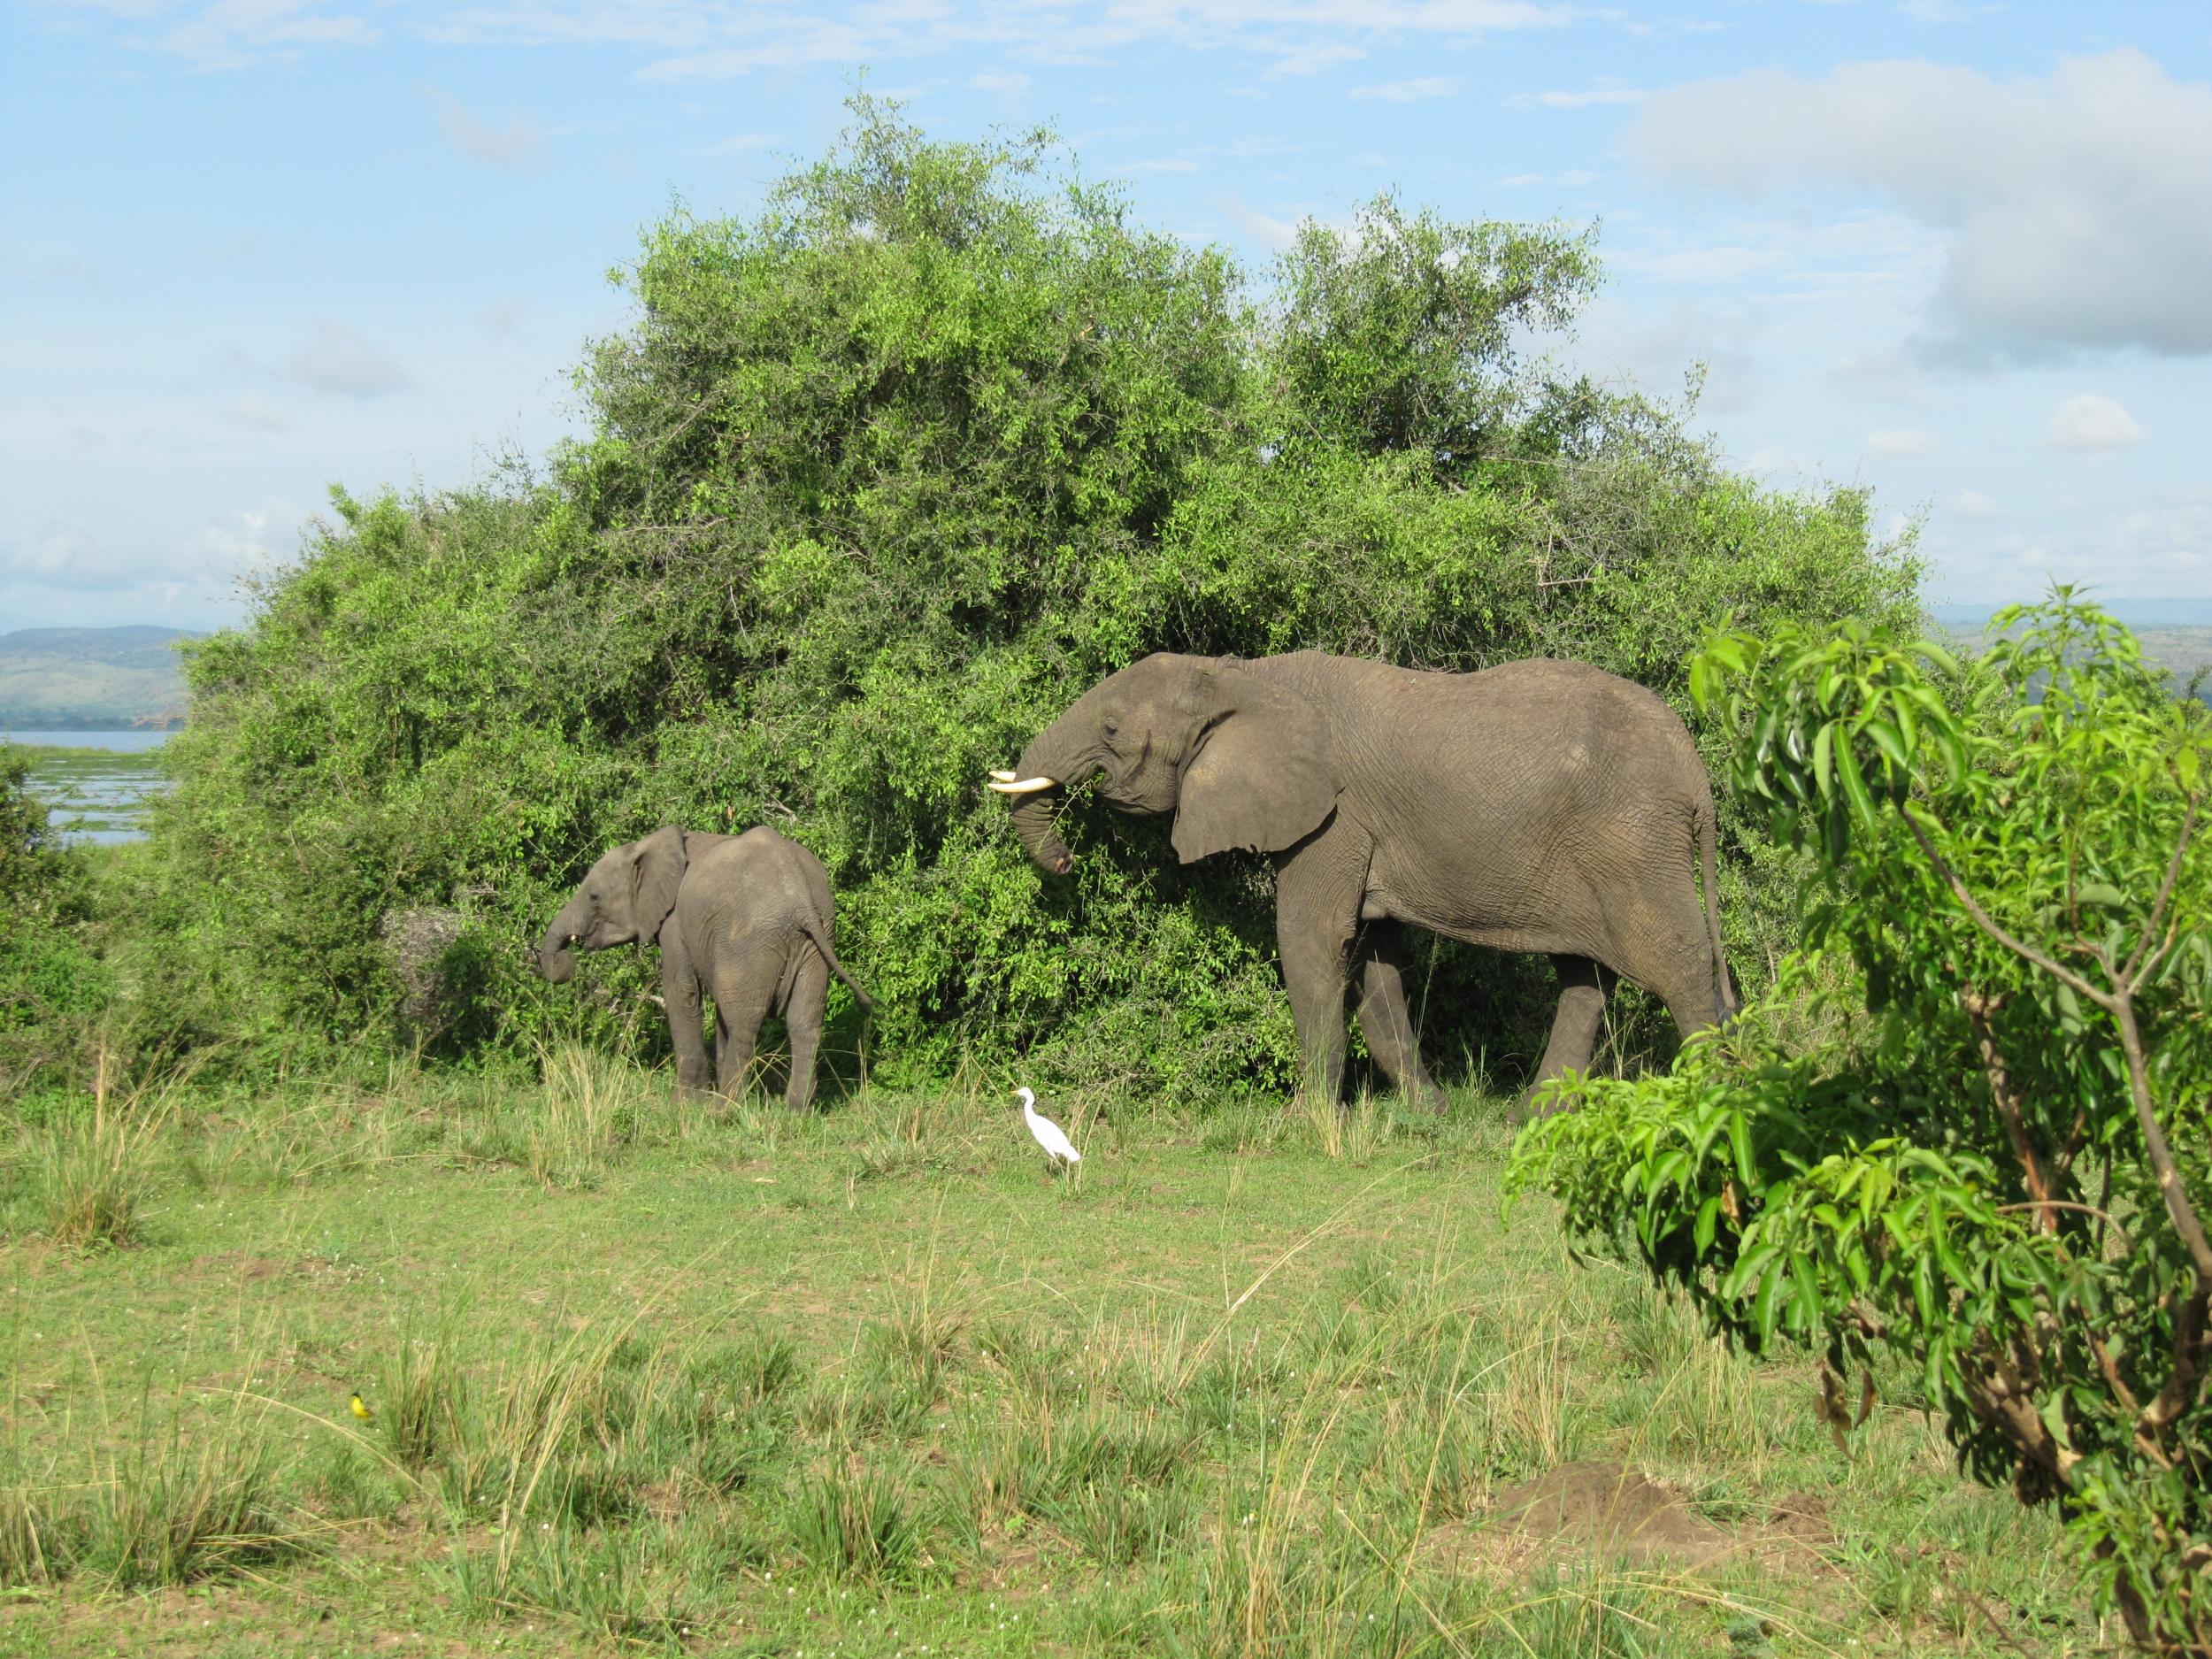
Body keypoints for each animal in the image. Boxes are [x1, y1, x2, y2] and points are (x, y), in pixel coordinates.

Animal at [535, 827, 872, 1110]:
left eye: (594, 897)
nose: (565, 962)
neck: (650, 844)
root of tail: (800, 897)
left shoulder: (674, 923)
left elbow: (681, 991)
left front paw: (683, 1104)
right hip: (817, 938)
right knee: (804, 1021)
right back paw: (796, 1112)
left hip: (752, 939)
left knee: (744, 1025)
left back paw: (723, 1111)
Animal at [995, 655, 1734, 1119]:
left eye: (1111, 729)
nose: (1064, 863)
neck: (1242, 675)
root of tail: (1696, 770)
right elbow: (1373, 959)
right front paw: (1429, 1113)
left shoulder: (1334, 817)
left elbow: (1310, 938)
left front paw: (1305, 1122)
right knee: (1585, 976)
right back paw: (1525, 1120)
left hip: (1634, 840)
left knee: (1676, 964)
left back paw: (1714, 1102)